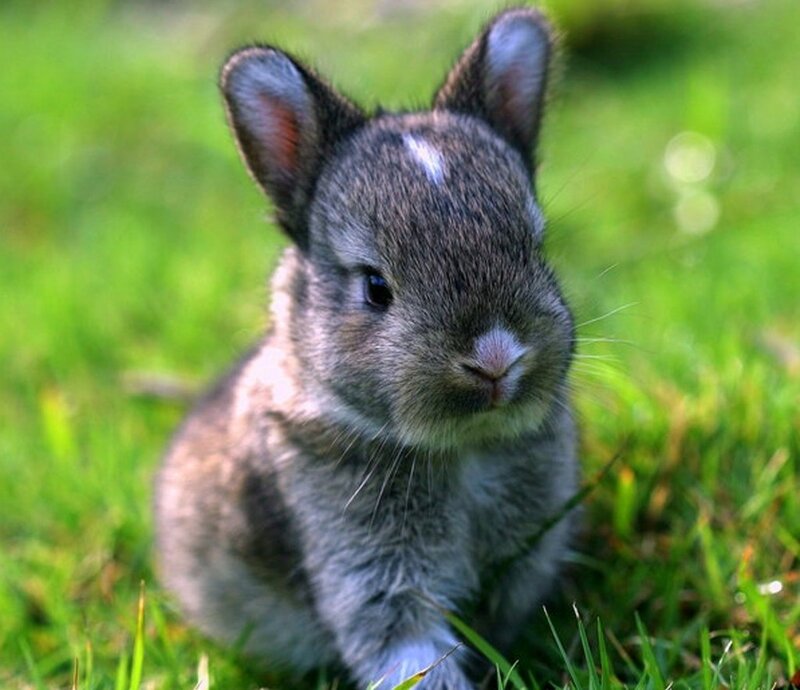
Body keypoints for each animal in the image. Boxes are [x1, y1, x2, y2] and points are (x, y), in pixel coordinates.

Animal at [155, 7, 579, 690]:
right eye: (376, 287)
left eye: (536, 249)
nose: (495, 358)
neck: (462, 449)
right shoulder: (370, 573)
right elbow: (407, 648)